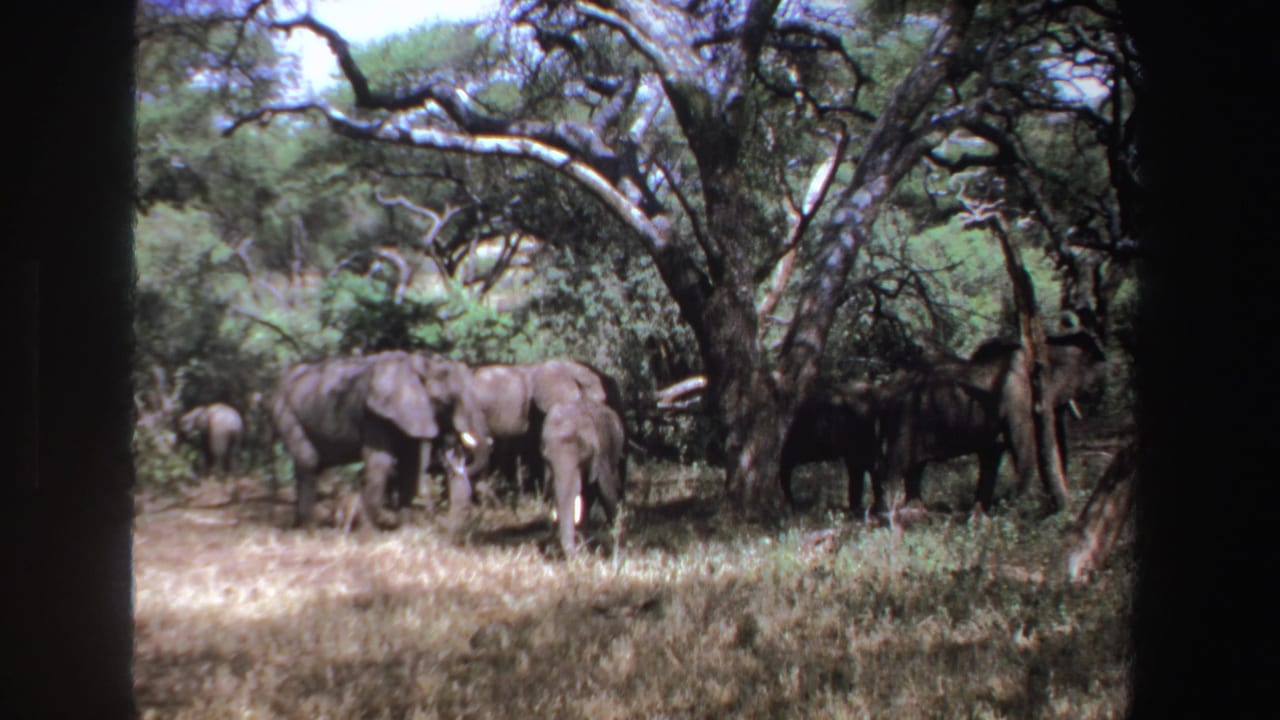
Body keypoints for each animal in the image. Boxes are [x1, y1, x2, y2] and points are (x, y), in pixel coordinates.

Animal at [270, 351, 491, 531]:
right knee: (309, 462)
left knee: (311, 466)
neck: (417, 363)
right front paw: (369, 533)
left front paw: (405, 531)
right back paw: (310, 529)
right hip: (286, 411)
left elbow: (411, 465)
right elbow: (381, 462)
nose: (455, 455)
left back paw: (299, 525)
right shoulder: (374, 414)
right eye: (450, 400)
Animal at [871, 331, 1107, 517]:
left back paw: (915, 511)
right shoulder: (1017, 402)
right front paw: (1014, 509)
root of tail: (884, 388)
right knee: (894, 464)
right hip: (903, 419)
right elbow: (1023, 449)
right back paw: (889, 514)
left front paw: (979, 516)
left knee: (914, 468)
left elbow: (991, 457)